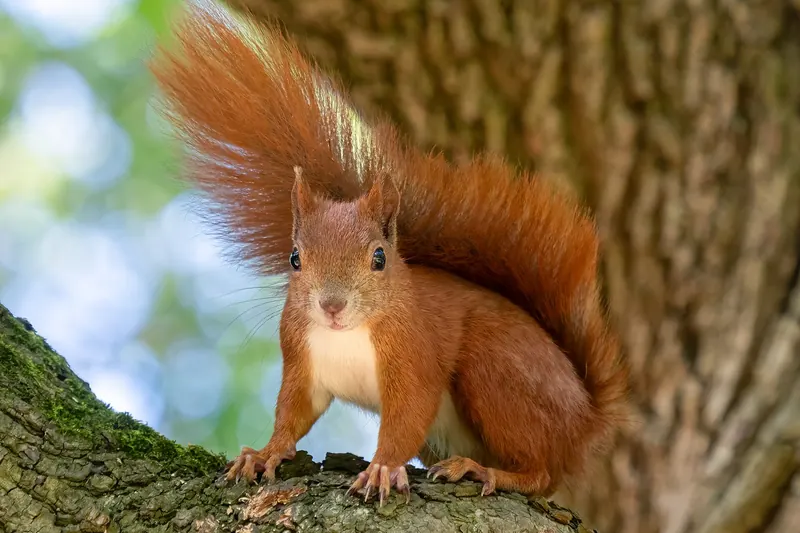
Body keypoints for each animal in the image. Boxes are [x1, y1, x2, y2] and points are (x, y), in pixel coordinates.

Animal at [149, 0, 629, 506]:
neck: (346, 334)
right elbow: (293, 413)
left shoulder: (415, 353)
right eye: (295, 258)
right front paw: (264, 453)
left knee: (542, 473)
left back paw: (484, 470)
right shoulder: (302, 359)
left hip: (497, 373)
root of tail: (584, 419)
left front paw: (381, 468)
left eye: (379, 258)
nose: (332, 306)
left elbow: (407, 416)